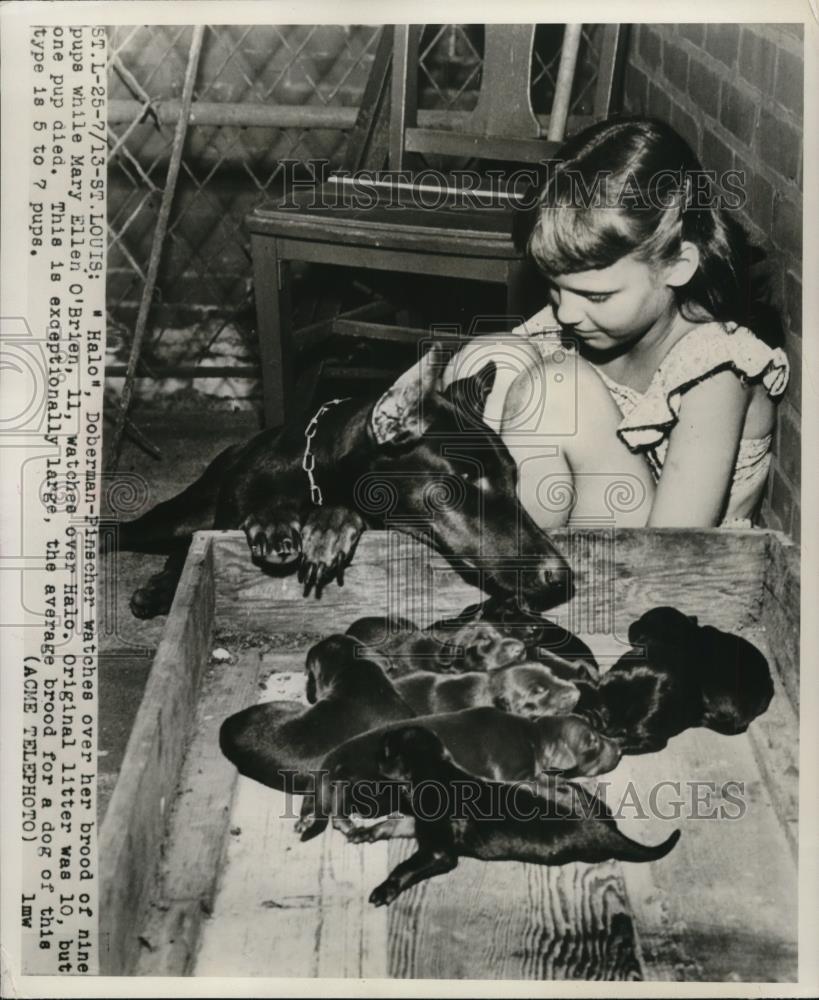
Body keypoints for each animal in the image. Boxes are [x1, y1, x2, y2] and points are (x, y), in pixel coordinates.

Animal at [294, 724, 680, 912]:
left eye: (386, 751)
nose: (375, 756)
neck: (436, 771)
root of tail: (609, 830)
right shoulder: (418, 824)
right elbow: (393, 823)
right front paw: (365, 832)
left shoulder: (438, 852)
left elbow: (405, 866)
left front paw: (383, 889)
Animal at [296, 708, 620, 840]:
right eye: (592, 742)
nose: (619, 749)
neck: (533, 736)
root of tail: (329, 762)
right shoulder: (517, 774)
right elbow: (557, 786)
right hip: (367, 781)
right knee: (338, 809)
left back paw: (305, 820)